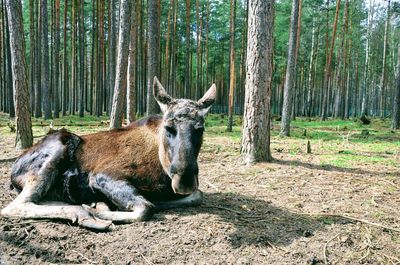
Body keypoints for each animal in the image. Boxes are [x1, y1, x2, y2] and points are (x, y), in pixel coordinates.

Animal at [0, 76, 216, 229]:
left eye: (200, 129)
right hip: (59, 145)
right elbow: (146, 208)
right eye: (168, 127)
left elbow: (197, 195)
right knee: (16, 206)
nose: (184, 179)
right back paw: (84, 213)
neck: (163, 169)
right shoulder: (102, 175)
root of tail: (14, 170)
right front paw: (98, 210)